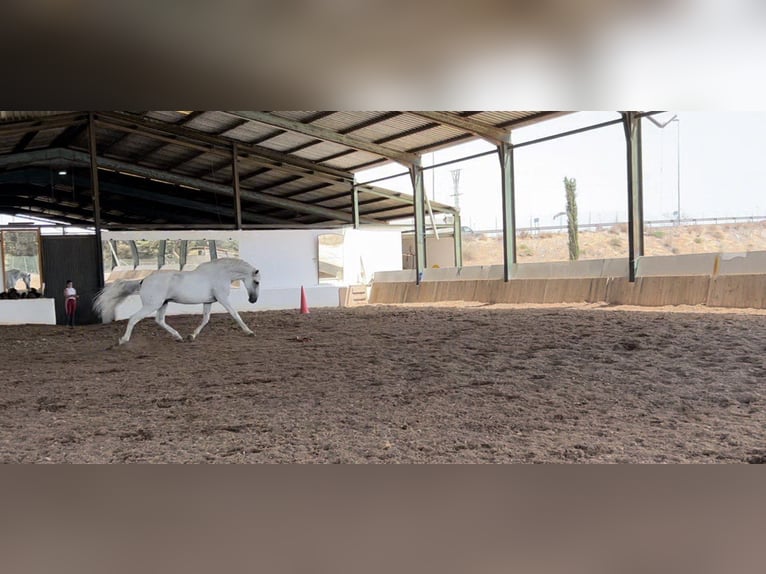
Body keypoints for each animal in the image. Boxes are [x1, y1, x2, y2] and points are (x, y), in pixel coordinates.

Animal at [92, 258, 260, 344]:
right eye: (256, 282)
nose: (253, 300)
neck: (221, 274)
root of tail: (143, 280)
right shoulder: (223, 298)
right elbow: (235, 314)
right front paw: (249, 332)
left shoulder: (208, 302)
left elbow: (205, 319)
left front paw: (192, 336)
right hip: (152, 305)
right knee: (134, 318)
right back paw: (123, 340)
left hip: (163, 304)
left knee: (159, 320)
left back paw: (178, 337)